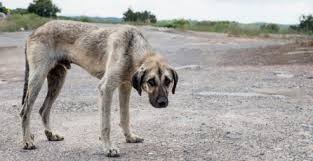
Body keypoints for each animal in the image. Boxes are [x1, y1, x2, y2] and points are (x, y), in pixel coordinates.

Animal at [20, 20, 178, 157]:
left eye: (168, 81)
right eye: (151, 81)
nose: (163, 103)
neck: (133, 48)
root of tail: (34, 31)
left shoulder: (125, 87)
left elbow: (125, 116)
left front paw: (130, 137)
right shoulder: (106, 88)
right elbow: (106, 124)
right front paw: (108, 148)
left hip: (57, 81)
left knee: (43, 110)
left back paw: (50, 134)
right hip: (37, 79)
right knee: (25, 111)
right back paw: (27, 141)